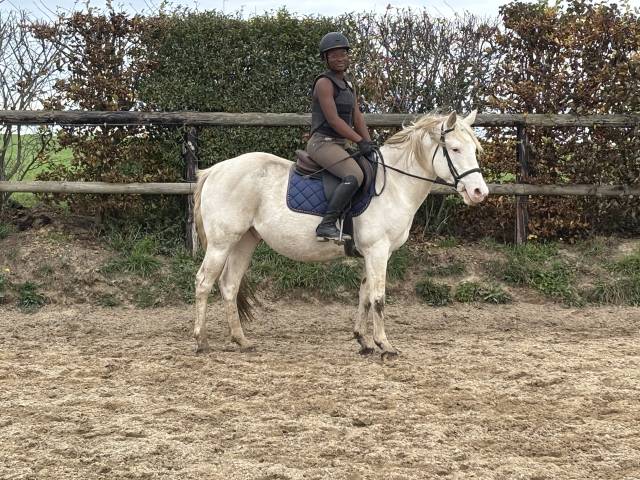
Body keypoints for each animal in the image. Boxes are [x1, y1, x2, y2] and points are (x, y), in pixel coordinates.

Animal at [192, 110, 488, 359]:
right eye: (455, 149)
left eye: (474, 149)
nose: (479, 193)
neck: (394, 185)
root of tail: (216, 169)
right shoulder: (378, 251)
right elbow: (378, 298)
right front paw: (385, 345)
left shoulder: (373, 253)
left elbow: (364, 295)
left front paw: (364, 342)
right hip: (222, 243)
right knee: (204, 282)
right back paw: (201, 341)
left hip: (245, 240)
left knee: (229, 285)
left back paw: (241, 340)